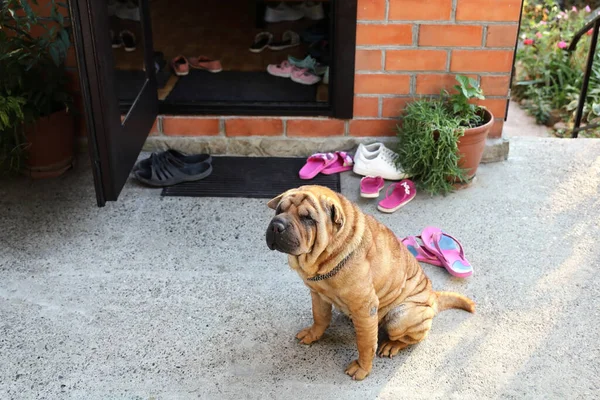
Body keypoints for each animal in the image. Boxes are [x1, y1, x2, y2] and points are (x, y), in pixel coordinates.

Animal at [264, 186, 476, 380]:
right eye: (279, 210)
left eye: (307, 218)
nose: (276, 225)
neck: (324, 260)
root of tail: (433, 296)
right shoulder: (317, 294)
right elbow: (320, 317)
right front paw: (313, 333)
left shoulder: (365, 309)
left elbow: (365, 344)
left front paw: (362, 368)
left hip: (400, 317)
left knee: (410, 338)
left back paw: (392, 345)